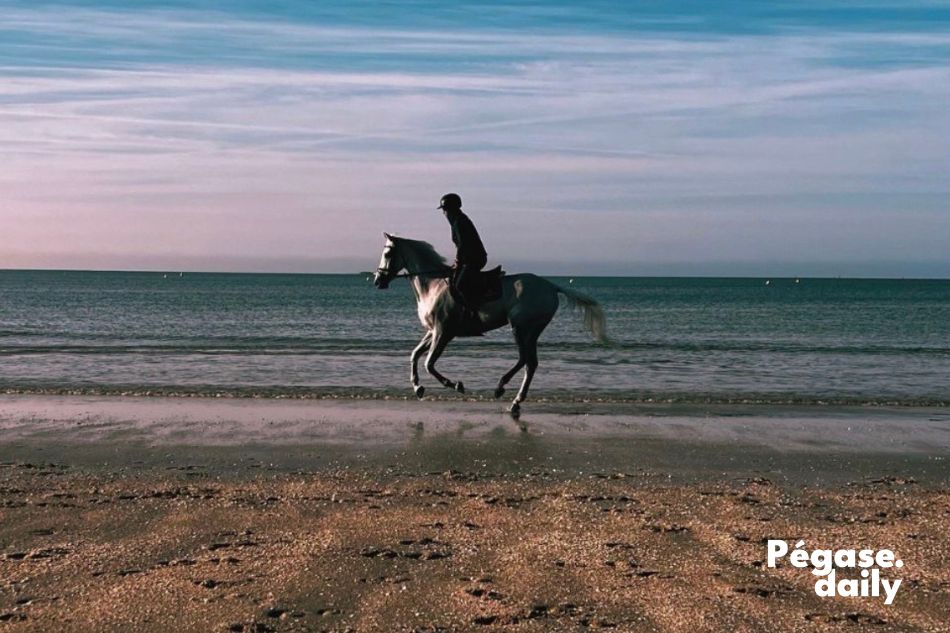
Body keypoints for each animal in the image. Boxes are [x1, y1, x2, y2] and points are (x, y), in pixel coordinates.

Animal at [373, 233, 607, 418]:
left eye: (388, 254)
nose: (377, 281)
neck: (433, 286)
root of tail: (551, 286)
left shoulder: (443, 332)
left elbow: (429, 363)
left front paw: (455, 385)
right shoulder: (433, 332)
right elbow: (414, 355)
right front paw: (417, 387)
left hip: (520, 327)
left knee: (524, 359)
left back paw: (500, 387)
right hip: (533, 331)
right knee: (531, 364)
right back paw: (515, 403)